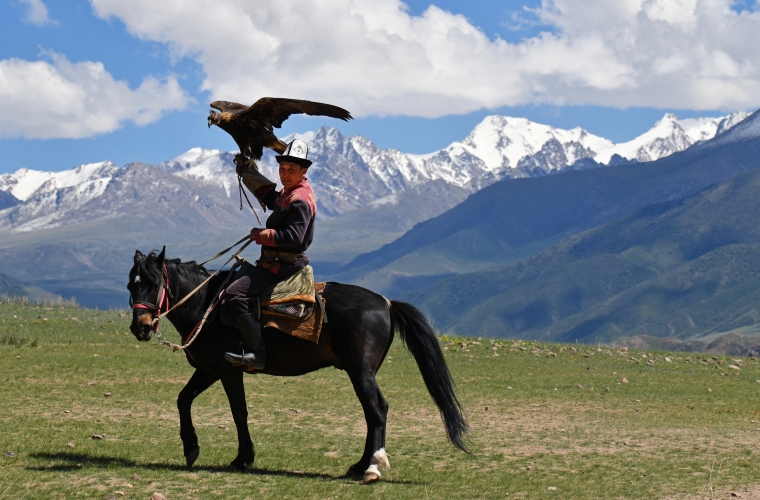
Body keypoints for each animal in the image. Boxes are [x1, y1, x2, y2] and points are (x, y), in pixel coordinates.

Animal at [127, 248, 466, 482]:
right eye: (131, 285)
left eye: (154, 283)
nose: (140, 327)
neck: (207, 304)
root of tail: (386, 303)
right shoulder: (209, 370)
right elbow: (183, 399)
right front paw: (191, 448)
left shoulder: (228, 370)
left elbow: (238, 411)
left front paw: (242, 458)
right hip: (361, 373)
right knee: (372, 413)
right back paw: (359, 466)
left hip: (361, 372)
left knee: (377, 409)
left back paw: (371, 467)